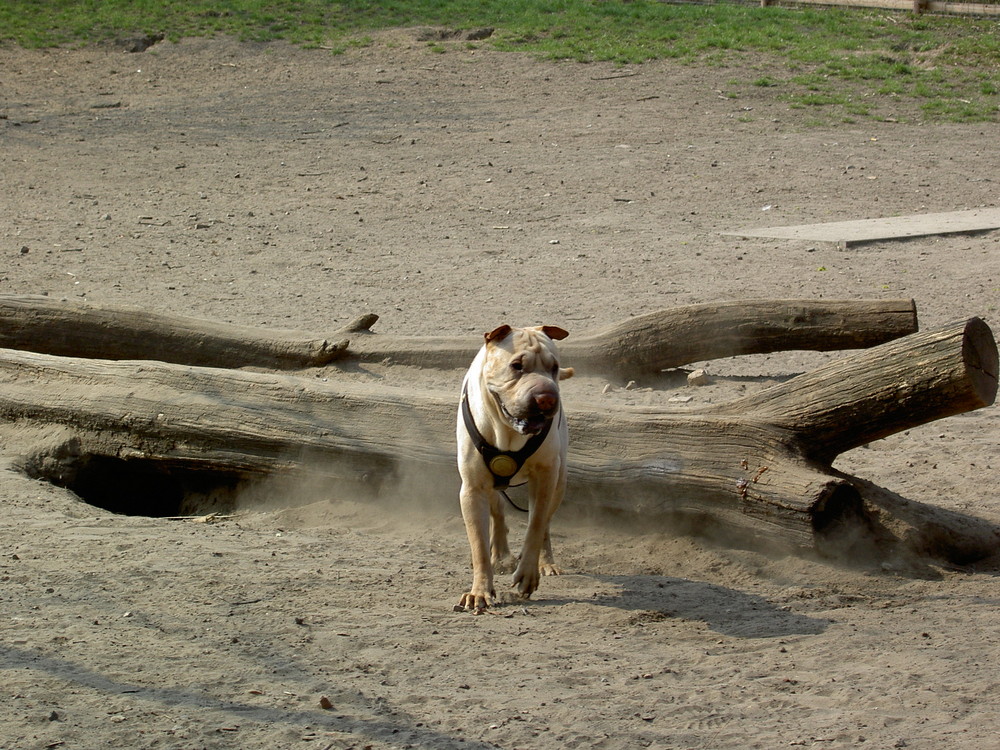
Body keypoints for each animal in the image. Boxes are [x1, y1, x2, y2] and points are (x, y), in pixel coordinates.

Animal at [458, 324, 576, 612]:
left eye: (554, 367)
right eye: (516, 365)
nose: (547, 398)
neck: (507, 431)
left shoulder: (545, 478)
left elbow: (536, 526)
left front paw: (528, 575)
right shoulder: (472, 488)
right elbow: (478, 543)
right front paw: (479, 590)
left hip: (560, 481)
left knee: (545, 524)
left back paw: (546, 562)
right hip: (490, 485)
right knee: (498, 510)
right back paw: (500, 554)